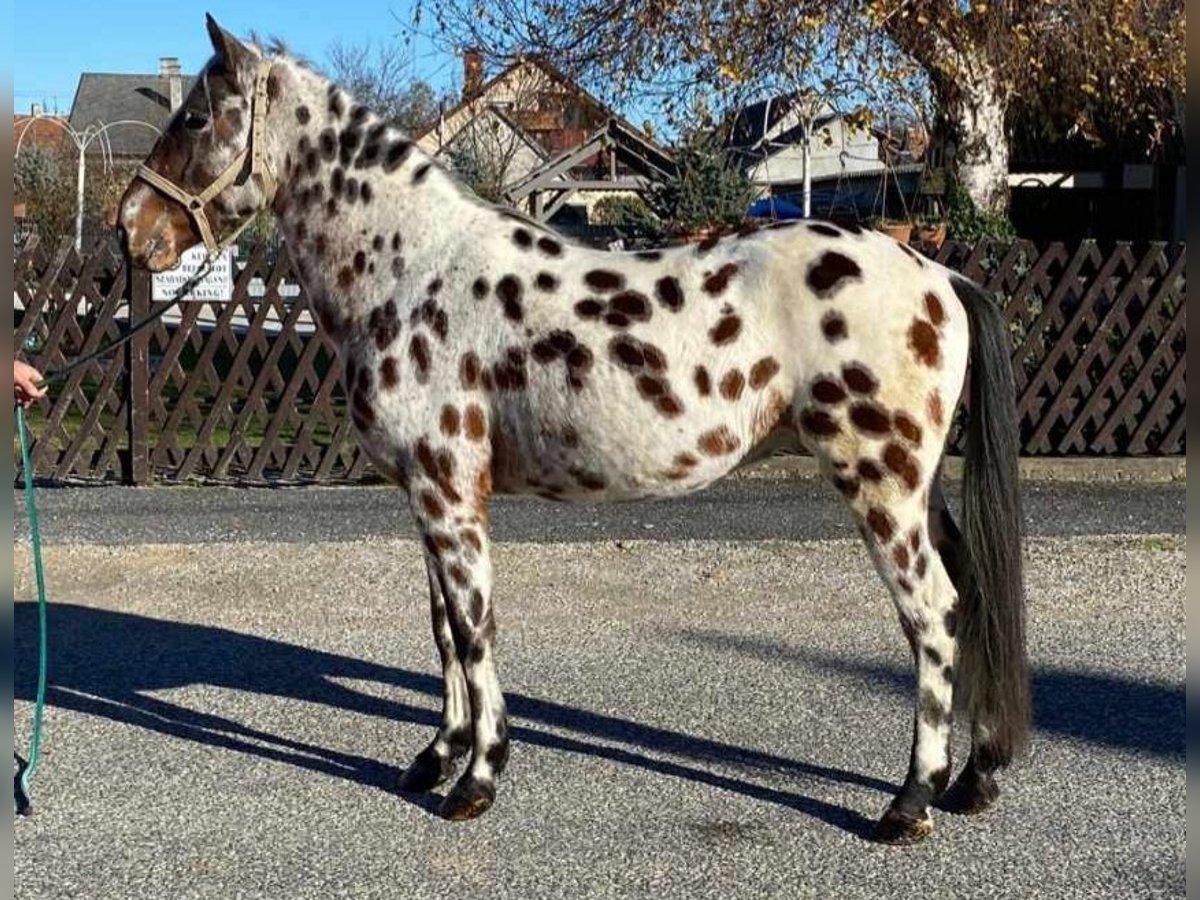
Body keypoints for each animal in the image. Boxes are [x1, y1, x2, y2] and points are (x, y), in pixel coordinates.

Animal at [114, 17, 1032, 849]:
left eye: (195, 118)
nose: (130, 227)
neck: (412, 270)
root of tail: (938, 274)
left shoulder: (451, 496)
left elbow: (475, 628)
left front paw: (476, 780)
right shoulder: (426, 498)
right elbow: (443, 630)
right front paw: (436, 757)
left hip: (882, 486)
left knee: (935, 614)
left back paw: (910, 802)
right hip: (921, 491)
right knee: (974, 595)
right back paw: (973, 780)